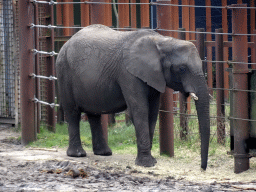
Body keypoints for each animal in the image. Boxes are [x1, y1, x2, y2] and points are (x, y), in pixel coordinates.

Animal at [56, 24, 210, 170]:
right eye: (182, 69)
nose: (202, 168)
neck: (162, 41)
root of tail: (65, 43)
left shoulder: (154, 76)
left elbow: (152, 112)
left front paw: (152, 161)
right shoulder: (128, 74)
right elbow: (140, 110)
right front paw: (147, 164)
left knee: (94, 115)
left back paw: (104, 153)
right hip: (64, 72)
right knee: (73, 112)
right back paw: (77, 154)